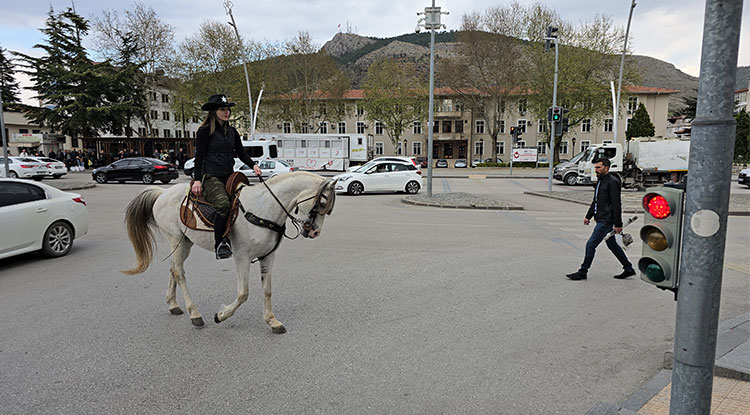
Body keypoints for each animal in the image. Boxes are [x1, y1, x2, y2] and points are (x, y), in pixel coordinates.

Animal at [122, 173, 336, 334]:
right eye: (322, 203)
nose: (315, 232)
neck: (263, 208)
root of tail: (163, 193)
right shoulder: (242, 257)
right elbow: (243, 293)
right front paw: (221, 315)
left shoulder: (268, 256)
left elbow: (267, 290)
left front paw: (272, 321)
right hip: (176, 239)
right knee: (179, 272)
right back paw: (195, 314)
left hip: (185, 242)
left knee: (173, 268)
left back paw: (173, 304)